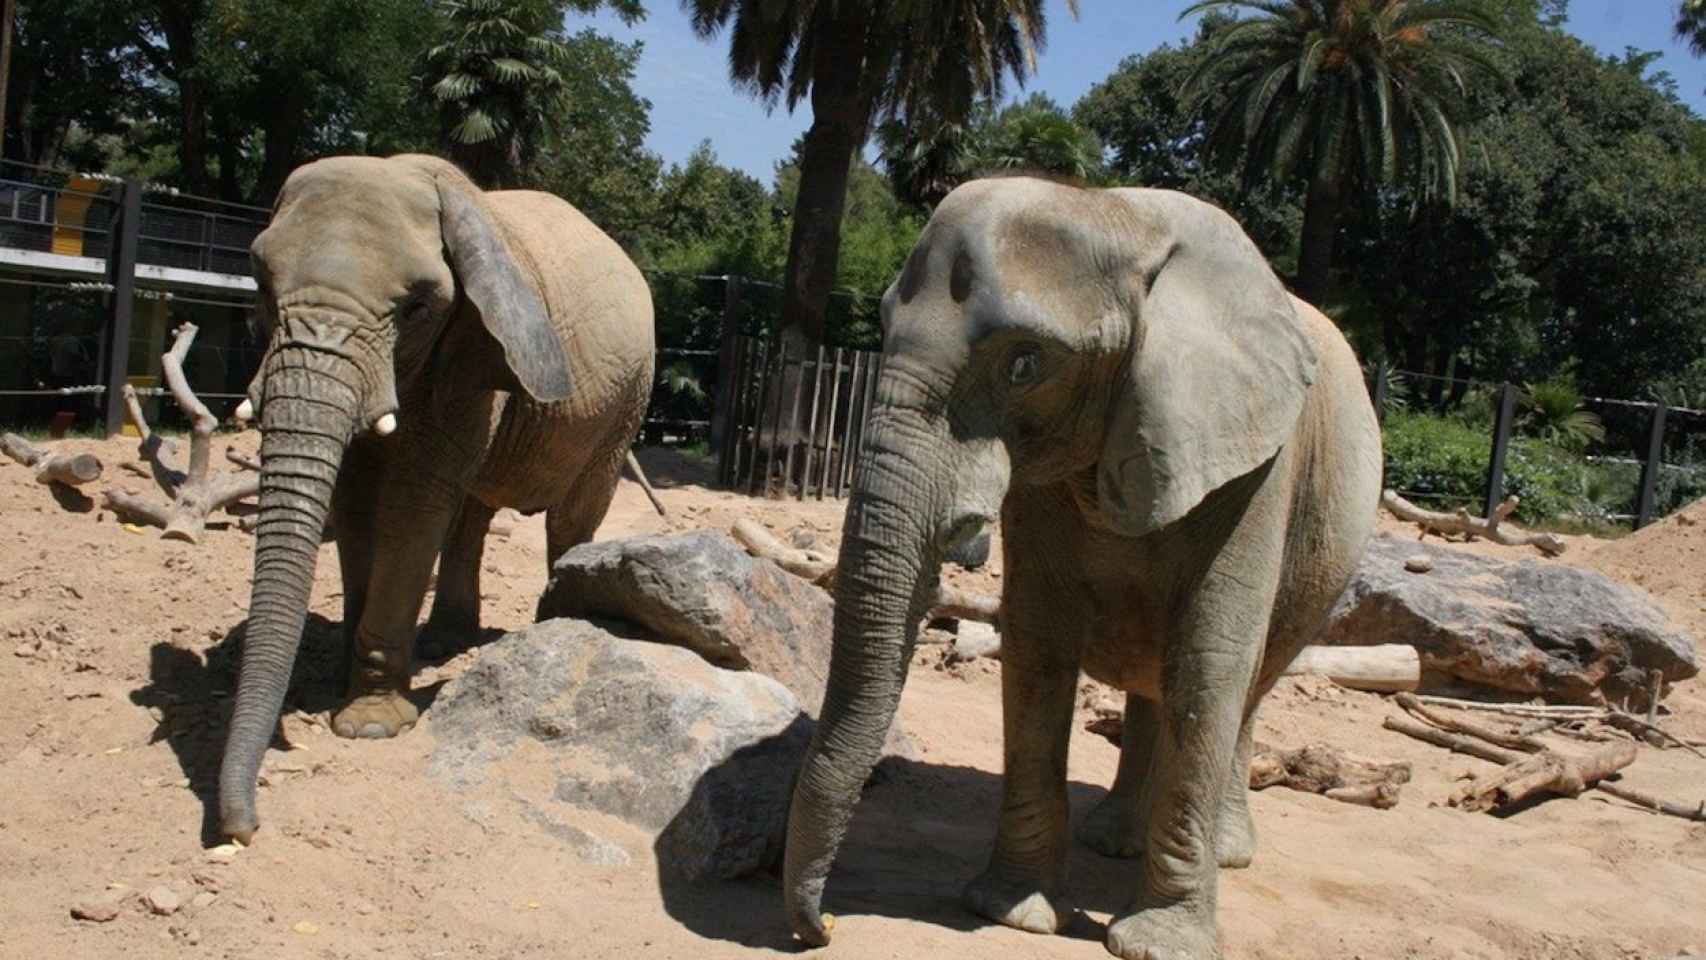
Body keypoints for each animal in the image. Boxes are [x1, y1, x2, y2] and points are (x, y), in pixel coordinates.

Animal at [216, 154, 655, 845]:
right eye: (259, 280)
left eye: (417, 307)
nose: (243, 828)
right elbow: (354, 502)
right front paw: (339, 683)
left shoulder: (470, 350)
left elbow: (412, 504)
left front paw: (368, 724)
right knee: (472, 514)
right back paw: (446, 643)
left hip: (624, 401)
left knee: (574, 514)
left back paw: (552, 623)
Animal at [784, 174, 1385, 960]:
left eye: (1025, 363)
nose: (822, 928)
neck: (1114, 214)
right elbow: (1037, 641)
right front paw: (1012, 913)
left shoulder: (1258, 462)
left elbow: (1212, 656)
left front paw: (1154, 947)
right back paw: (1114, 841)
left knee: (1248, 680)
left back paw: (1226, 855)